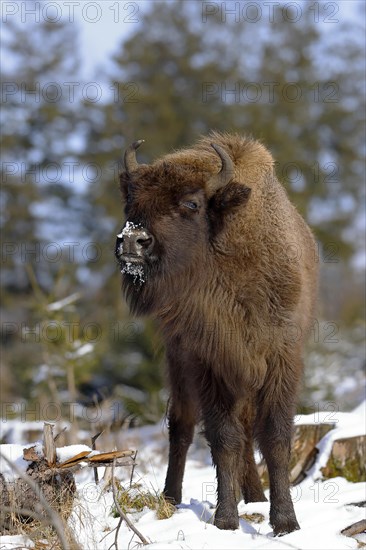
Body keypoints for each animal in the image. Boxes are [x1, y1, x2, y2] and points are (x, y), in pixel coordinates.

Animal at [114, 134, 318, 540]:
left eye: (191, 203)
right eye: (132, 200)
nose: (132, 242)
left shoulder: (280, 359)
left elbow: (275, 437)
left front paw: (285, 522)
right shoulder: (208, 364)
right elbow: (223, 438)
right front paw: (225, 520)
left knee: (245, 430)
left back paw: (254, 496)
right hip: (179, 363)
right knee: (182, 427)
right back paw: (172, 497)